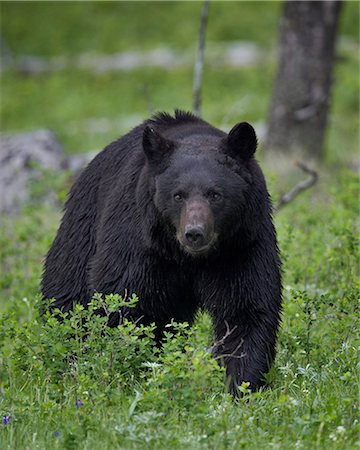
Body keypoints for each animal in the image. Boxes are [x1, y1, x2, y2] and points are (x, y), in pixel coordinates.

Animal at [42, 110, 282, 396]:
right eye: (178, 195)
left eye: (215, 194)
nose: (194, 233)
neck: (186, 257)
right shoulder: (140, 243)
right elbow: (124, 301)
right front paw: (126, 368)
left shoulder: (241, 245)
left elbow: (246, 306)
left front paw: (241, 384)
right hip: (82, 232)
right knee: (68, 300)